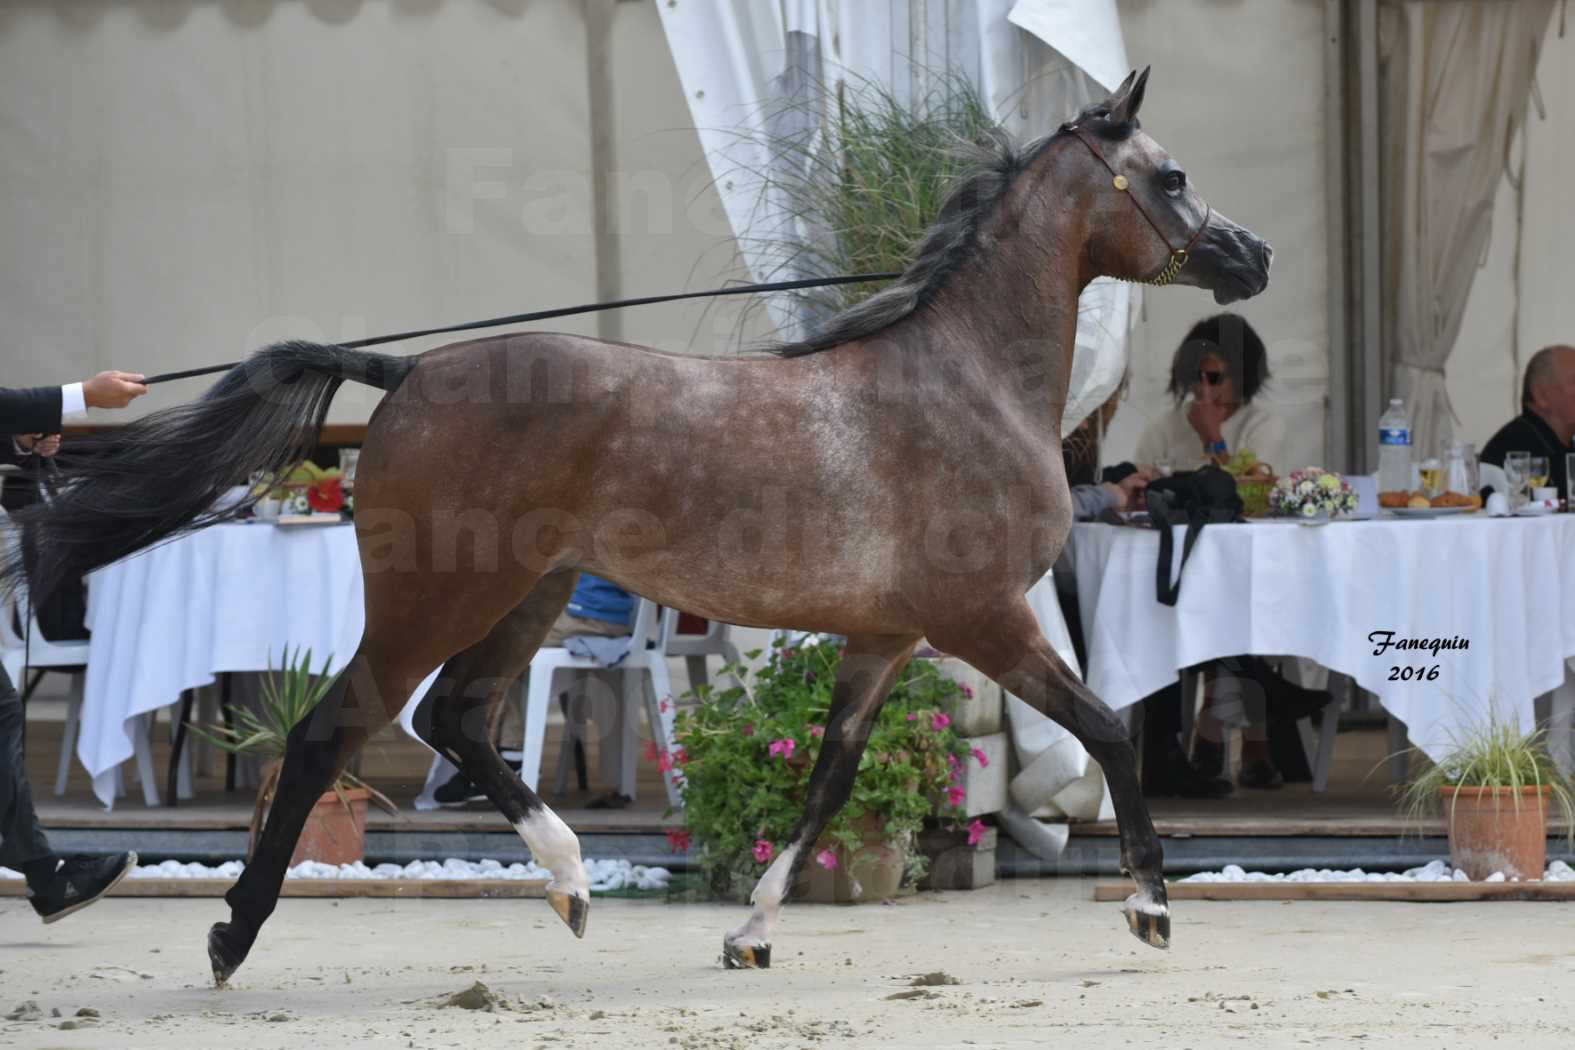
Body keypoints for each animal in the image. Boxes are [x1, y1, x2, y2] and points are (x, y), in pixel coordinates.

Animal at [3, 69, 1266, 988]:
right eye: (1171, 174)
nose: (1252, 256)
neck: (963, 380)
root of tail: (406, 374)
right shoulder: (984, 621)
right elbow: (1104, 731)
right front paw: (1151, 907)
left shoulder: (885, 639)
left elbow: (827, 780)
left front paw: (751, 934)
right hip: (437, 599)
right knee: (331, 736)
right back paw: (233, 938)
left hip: (531, 594)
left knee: (456, 719)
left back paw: (569, 883)